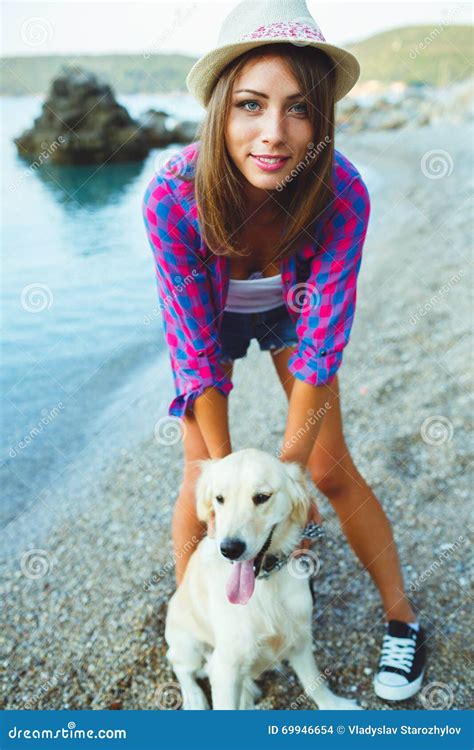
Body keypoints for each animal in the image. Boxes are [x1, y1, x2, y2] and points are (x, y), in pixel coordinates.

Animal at [165, 450, 362, 712]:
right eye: (220, 498)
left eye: (261, 497)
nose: (229, 549)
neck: (265, 584)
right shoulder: (225, 668)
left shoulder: (300, 637)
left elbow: (314, 682)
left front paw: (332, 704)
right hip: (188, 643)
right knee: (180, 665)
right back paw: (194, 697)